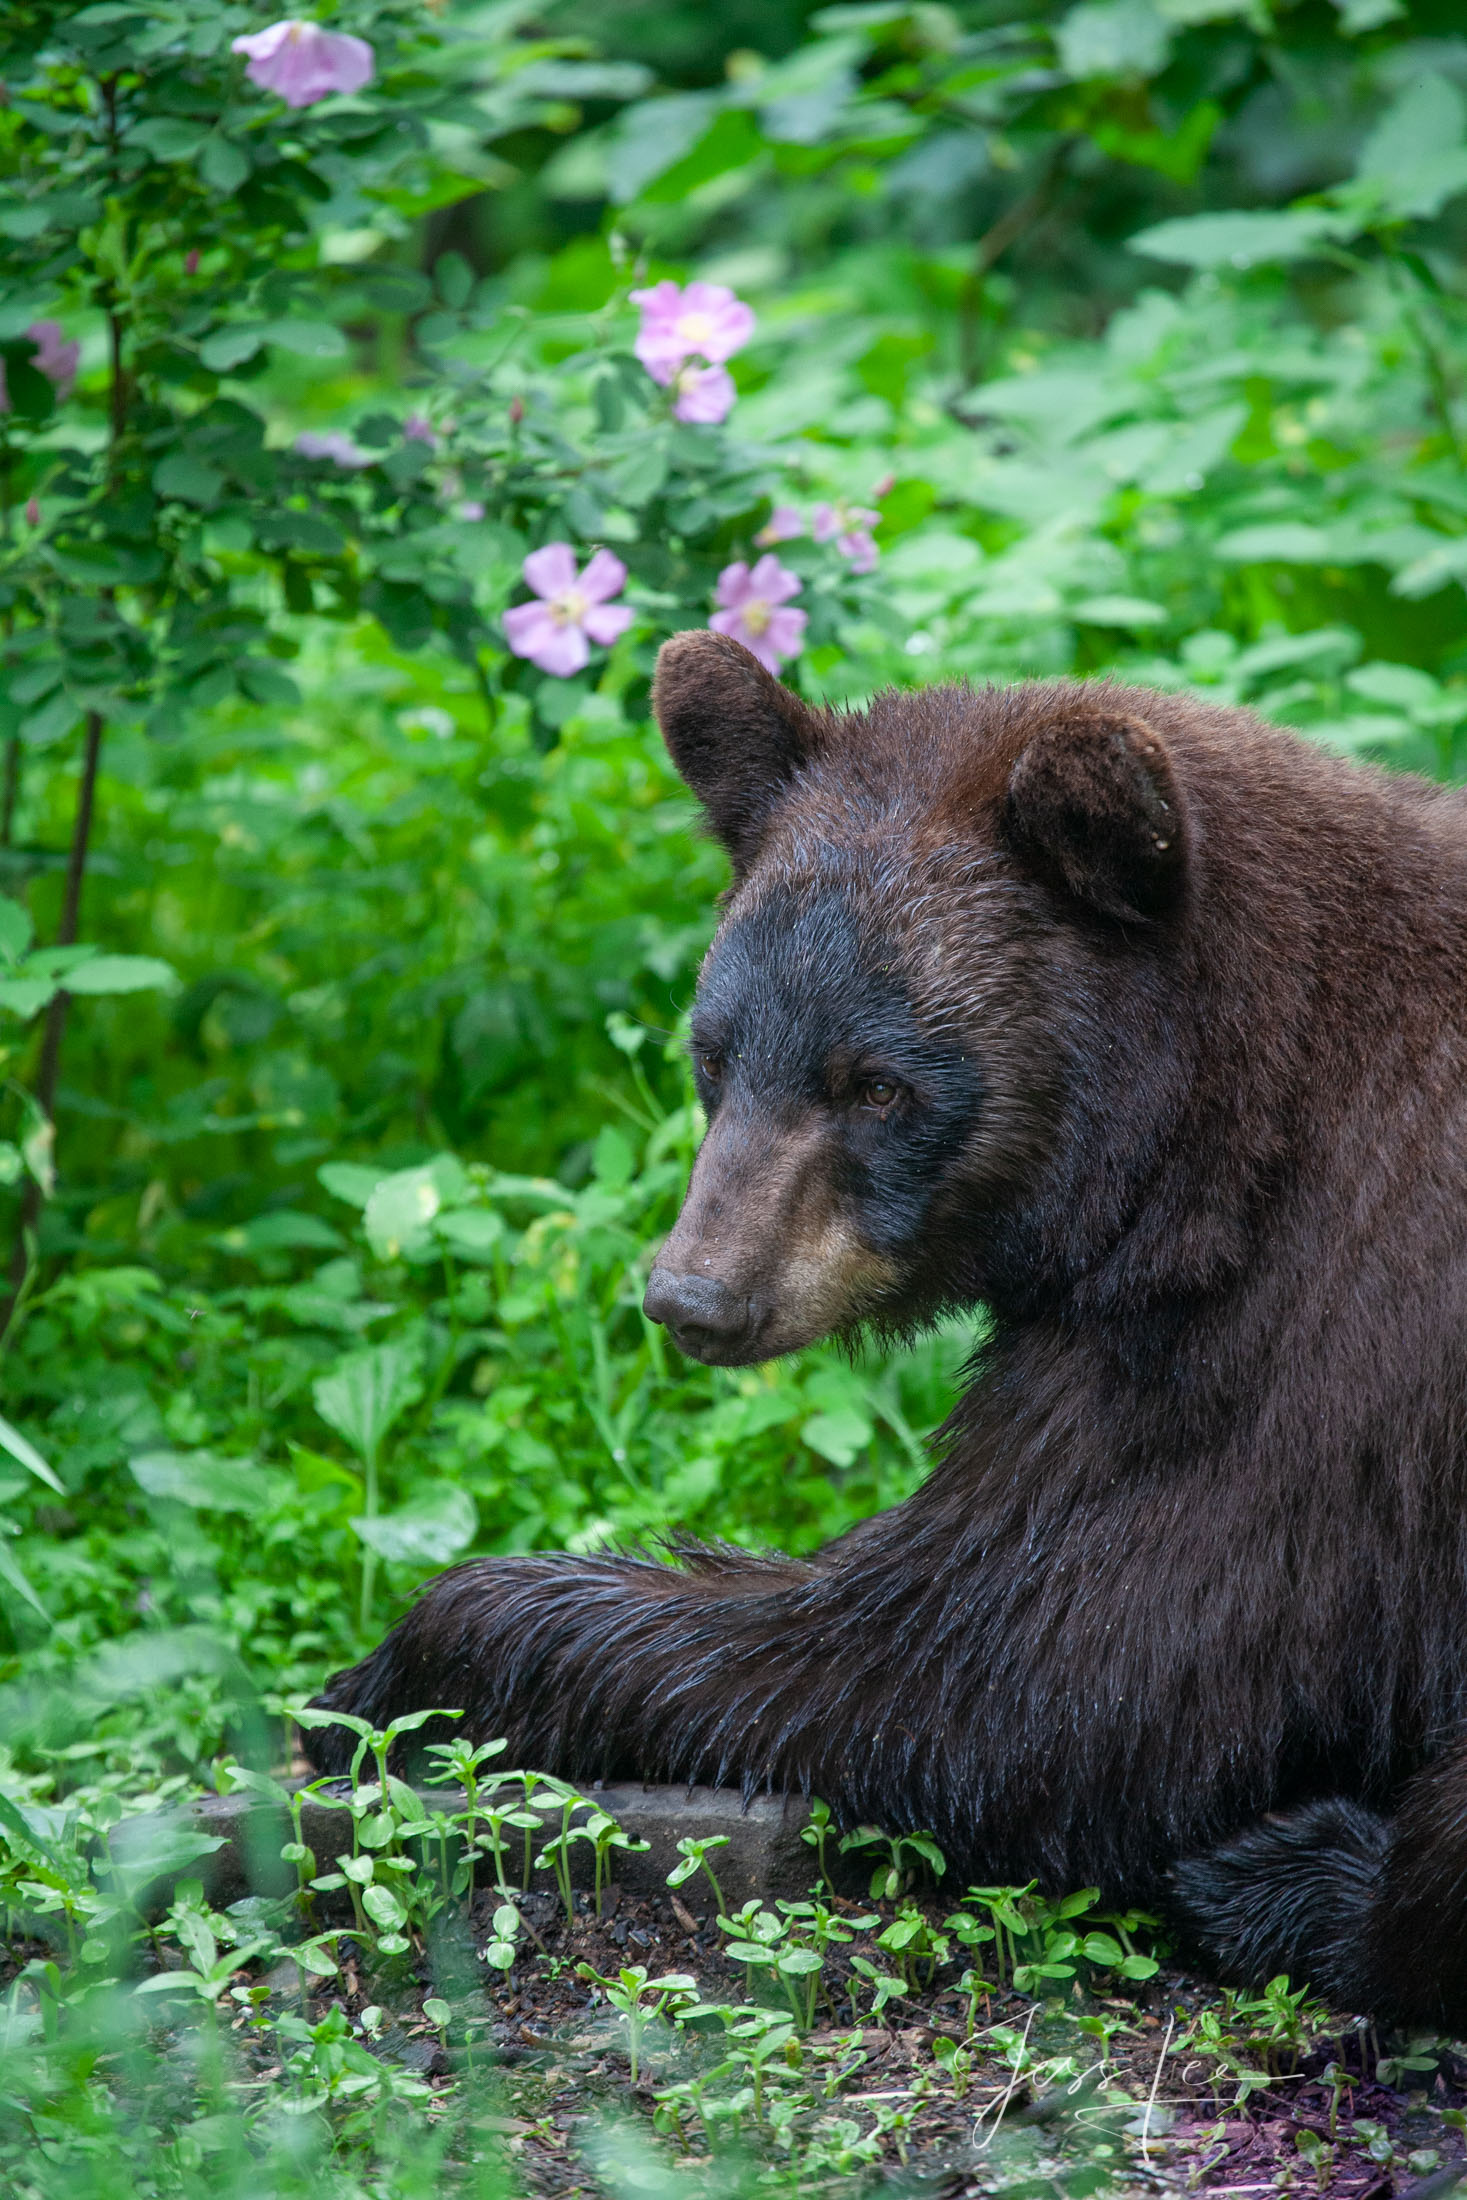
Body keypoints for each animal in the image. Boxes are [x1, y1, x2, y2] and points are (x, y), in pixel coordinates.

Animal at [312, 624, 1467, 2024]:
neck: (1210, 1138)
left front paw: (386, 1676)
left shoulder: (1315, 1339)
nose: (696, 1295)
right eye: (713, 1052)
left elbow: (1035, 1670)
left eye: (878, 1084)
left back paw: (1288, 1875)